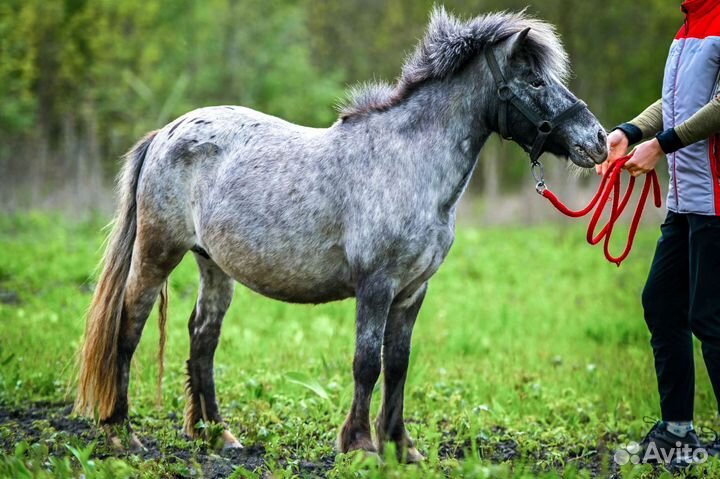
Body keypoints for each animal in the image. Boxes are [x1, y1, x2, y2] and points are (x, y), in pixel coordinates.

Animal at [75, 7, 607, 462]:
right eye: (535, 79)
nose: (599, 140)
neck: (408, 163)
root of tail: (164, 134)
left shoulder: (412, 292)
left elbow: (398, 364)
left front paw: (401, 447)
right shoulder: (376, 286)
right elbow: (366, 362)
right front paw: (361, 445)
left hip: (213, 263)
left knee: (203, 337)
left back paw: (217, 435)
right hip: (157, 252)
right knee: (129, 327)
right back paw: (122, 433)